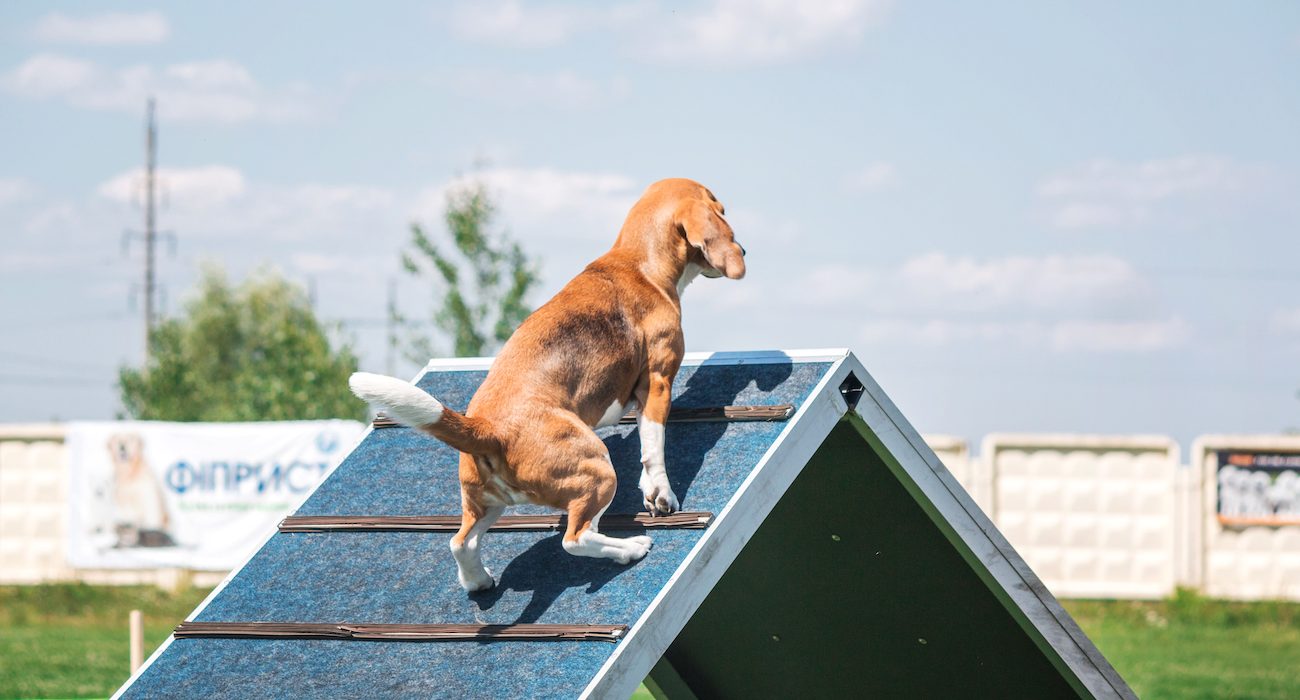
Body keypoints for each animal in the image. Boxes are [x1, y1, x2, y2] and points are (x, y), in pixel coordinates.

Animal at [351, 175, 748, 588]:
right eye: (721, 210)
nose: (744, 249)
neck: (638, 259)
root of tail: (487, 428)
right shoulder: (657, 381)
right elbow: (653, 448)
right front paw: (661, 495)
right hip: (596, 468)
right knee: (574, 538)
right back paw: (630, 548)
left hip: (484, 504)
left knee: (461, 543)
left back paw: (478, 581)